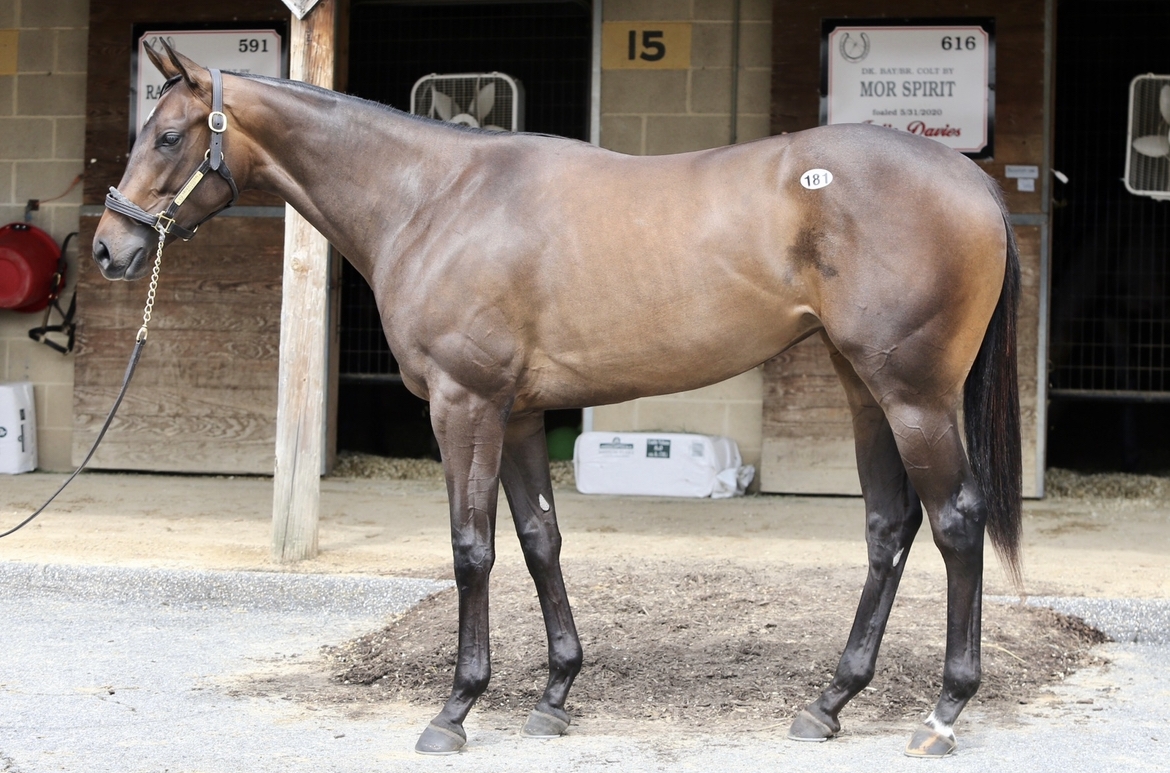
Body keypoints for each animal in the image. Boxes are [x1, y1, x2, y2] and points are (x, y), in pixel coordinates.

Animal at [93, 42, 1022, 759]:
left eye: (169, 134)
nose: (109, 248)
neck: (433, 199)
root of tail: (968, 181)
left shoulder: (463, 405)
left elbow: (472, 549)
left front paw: (456, 709)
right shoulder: (520, 413)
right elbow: (541, 539)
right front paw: (554, 694)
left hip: (914, 395)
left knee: (955, 522)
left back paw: (943, 712)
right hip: (865, 389)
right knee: (889, 528)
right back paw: (829, 701)